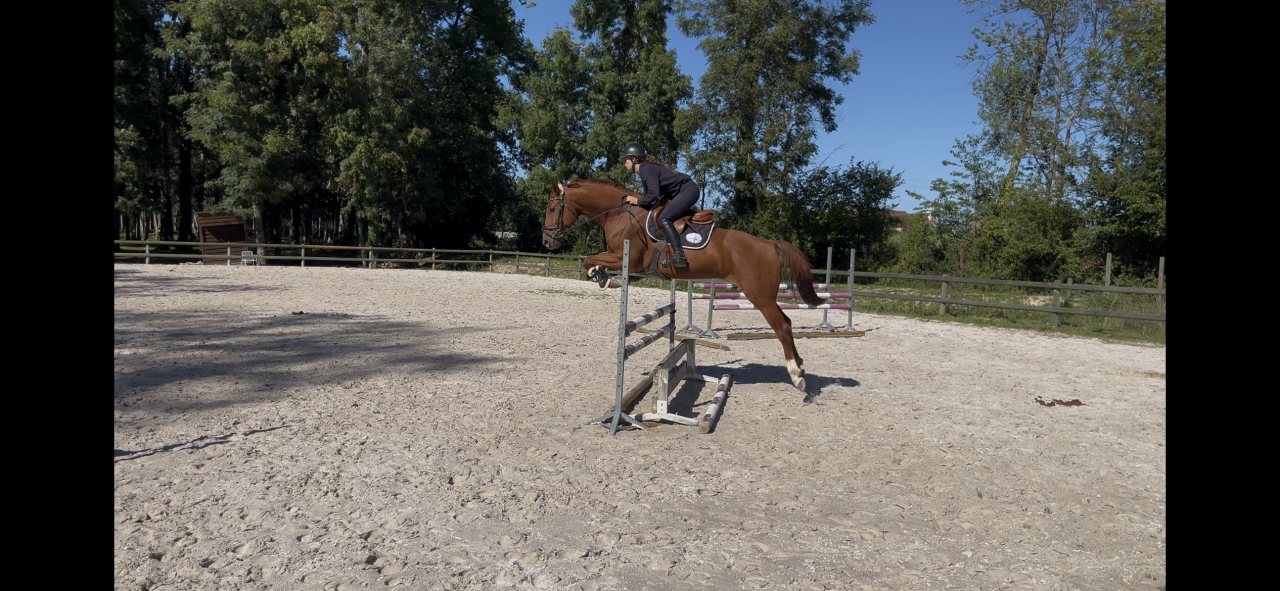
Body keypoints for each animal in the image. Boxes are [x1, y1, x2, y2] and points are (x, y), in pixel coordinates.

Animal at [541, 178, 824, 394]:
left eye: (552, 208)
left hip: (760, 296)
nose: (547, 242)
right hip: (765, 296)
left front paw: (604, 278)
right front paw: (606, 278)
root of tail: (769, 244)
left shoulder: (628, 259)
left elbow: (590, 259)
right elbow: (593, 260)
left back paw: (796, 374)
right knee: (787, 322)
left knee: (782, 326)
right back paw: (801, 367)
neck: (618, 213)